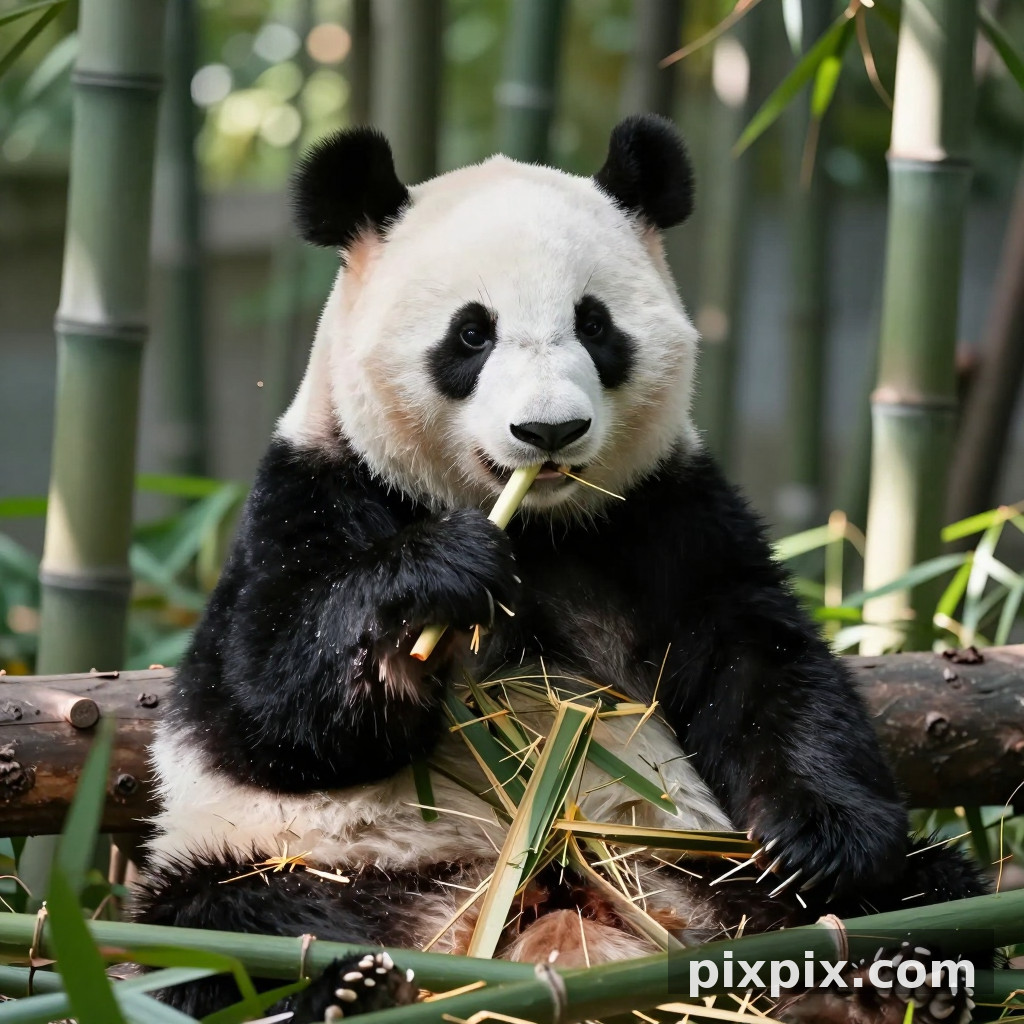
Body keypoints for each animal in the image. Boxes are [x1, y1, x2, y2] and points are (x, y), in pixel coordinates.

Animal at [134, 115, 986, 1023]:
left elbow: (761, 665)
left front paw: (822, 842)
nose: (549, 431)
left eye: (595, 326)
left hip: (688, 863)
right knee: (211, 940)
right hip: (304, 866)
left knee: (927, 889)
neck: (538, 530)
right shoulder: (315, 493)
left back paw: (903, 972)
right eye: (472, 333)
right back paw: (345, 987)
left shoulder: (664, 512)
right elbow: (270, 705)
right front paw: (437, 585)